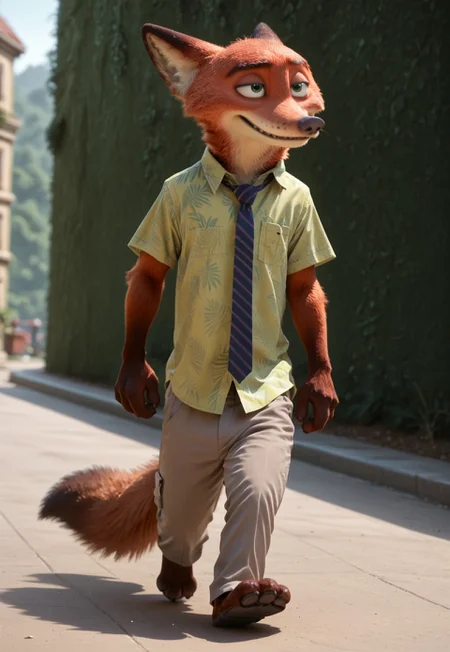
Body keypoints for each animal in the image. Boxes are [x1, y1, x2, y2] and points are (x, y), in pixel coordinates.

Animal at [40, 21, 337, 626]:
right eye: (253, 87)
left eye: (299, 86)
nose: (310, 122)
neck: (243, 181)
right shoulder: (163, 212)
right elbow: (150, 275)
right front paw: (135, 380)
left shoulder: (304, 231)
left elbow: (302, 290)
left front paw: (244, 595)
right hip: (184, 453)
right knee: (174, 511)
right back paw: (174, 577)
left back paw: (241, 595)